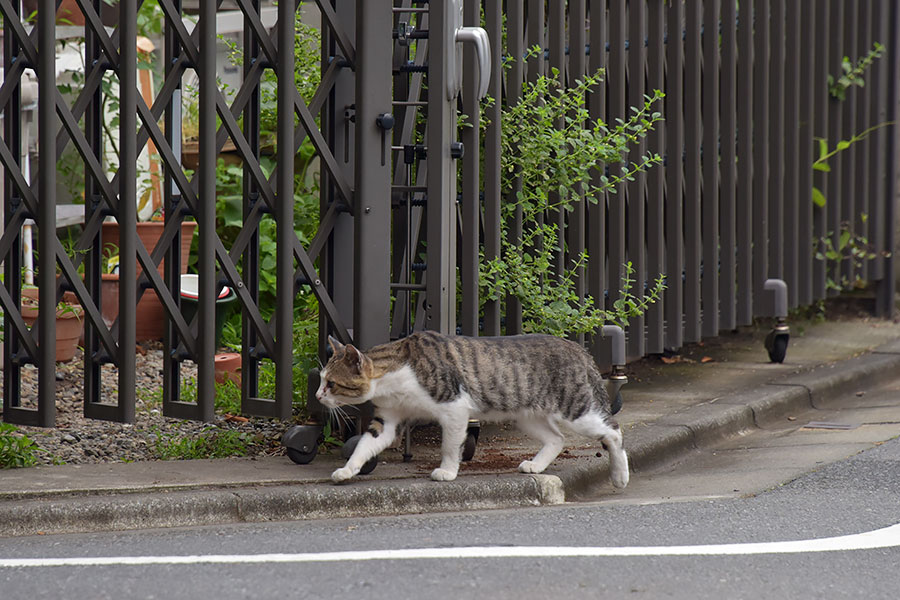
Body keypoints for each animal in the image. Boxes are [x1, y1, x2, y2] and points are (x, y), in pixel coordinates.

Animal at [320, 330, 628, 490]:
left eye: (332, 383)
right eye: (321, 379)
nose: (317, 395)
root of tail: (578, 348)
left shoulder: (454, 407)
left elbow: (449, 445)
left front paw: (447, 471)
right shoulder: (387, 420)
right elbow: (364, 446)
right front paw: (346, 470)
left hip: (577, 410)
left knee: (613, 431)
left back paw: (620, 476)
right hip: (526, 415)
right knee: (557, 439)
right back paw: (536, 465)